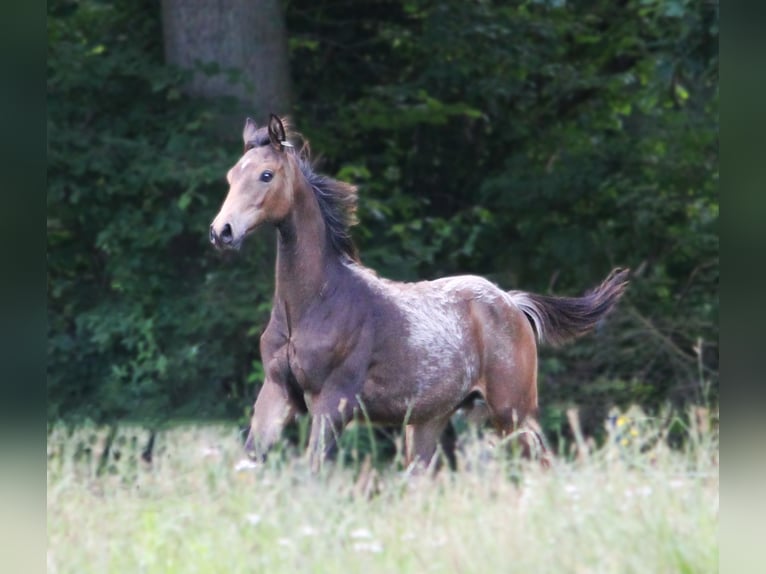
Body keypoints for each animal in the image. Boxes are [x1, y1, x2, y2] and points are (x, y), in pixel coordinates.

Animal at [210, 115, 632, 474]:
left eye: (266, 175)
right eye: (232, 175)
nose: (222, 231)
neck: (311, 305)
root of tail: (513, 302)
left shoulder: (333, 400)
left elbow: (313, 470)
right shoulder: (276, 392)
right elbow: (248, 463)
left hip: (512, 409)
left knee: (540, 463)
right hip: (432, 418)